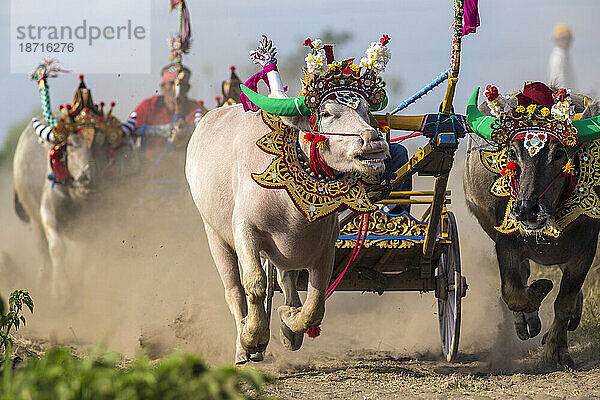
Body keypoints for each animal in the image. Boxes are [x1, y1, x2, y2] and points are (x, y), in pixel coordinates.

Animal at [188, 36, 392, 364]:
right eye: (327, 113)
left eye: (363, 110)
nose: (373, 140)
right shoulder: (245, 231)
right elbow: (255, 285)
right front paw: (252, 337)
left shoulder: (326, 245)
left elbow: (315, 303)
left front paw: (289, 319)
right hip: (214, 233)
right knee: (234, 290)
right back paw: (243, 345)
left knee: (286, 280)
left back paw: (287, 328)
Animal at [464, 82, 600, 368]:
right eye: (513, 153)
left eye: (558, 154)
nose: (526, 208)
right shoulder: (505, 242)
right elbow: (513, 292)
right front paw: (537, 294)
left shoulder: (585, 251)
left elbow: (564, 303)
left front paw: (555, 351)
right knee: (523, 276)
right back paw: (527, 321)